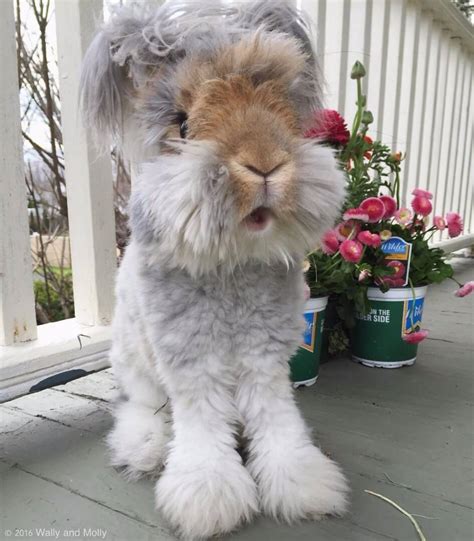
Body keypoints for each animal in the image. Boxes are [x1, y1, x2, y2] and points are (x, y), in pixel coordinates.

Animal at [80, 0, 348, 536]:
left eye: (283, 111)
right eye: (182, 126)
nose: (265, 164)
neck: (232, 264)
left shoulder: (266, 360)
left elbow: (276, 421)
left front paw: (302, 483)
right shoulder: (192, 362)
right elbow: (202, 428)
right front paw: (208, 497)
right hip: (135, 366)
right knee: (142, 409)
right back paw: (143, 448)